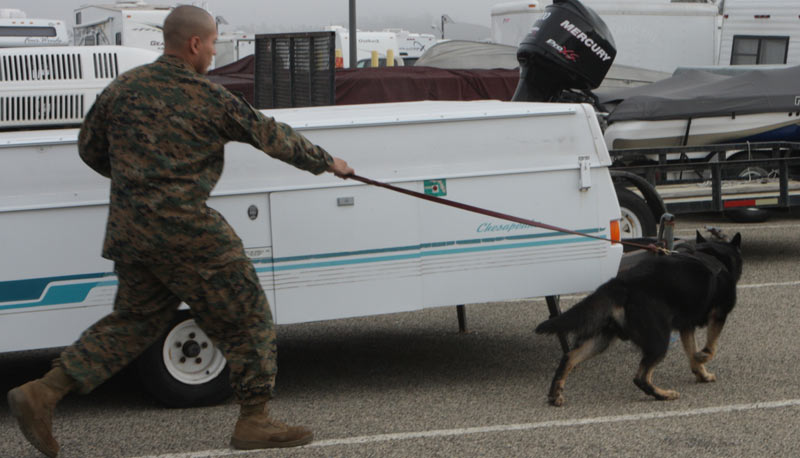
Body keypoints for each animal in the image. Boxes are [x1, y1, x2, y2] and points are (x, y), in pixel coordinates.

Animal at [536, 231, 744, 406]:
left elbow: (692, 353)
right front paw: (703, 357)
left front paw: (702, 374)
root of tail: (621, 284)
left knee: (570, 357)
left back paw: (555, 393)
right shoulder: (719, 315)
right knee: (641, 377)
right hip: (659, 340)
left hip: (602, 339)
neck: (713, 254)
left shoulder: (687, 327)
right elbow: (711, 347)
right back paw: (662, 394)